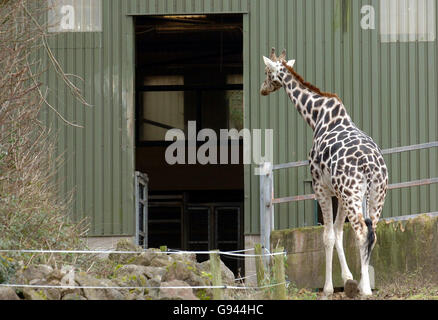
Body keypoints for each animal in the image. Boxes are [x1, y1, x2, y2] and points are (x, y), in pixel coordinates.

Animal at [260, 48, 386, 298]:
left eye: (268, 72)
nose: (262, 89)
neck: (316, 116)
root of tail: (370, 166)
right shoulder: (336, 192)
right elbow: (337, 232)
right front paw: (347, 279)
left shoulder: (320, 187)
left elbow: (327, 236)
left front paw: (328, 288)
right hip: (376, 194)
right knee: (372, 231)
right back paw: (364, 284)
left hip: (353, 193)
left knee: (360, 231)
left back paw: (366, 289)